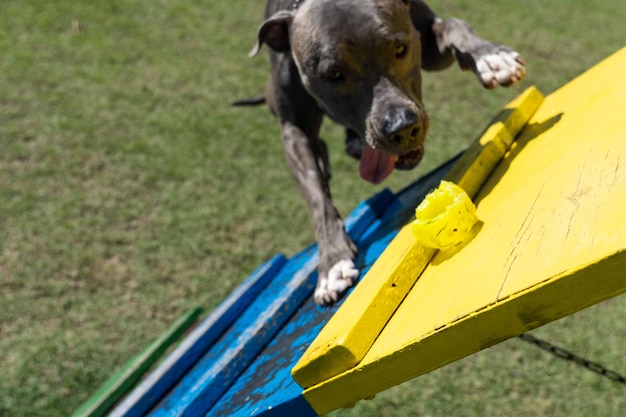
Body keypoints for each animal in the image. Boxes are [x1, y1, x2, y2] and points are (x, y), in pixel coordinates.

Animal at [238, 0, 520, 306]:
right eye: (332, 75)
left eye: (400, 49)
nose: (402, 128)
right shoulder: (293, 128)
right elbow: (316, 197)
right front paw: (332, 263)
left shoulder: (428, 42)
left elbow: (454, 25)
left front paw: (491, 56)